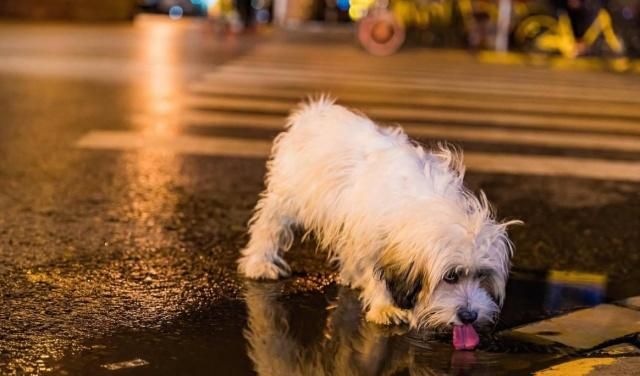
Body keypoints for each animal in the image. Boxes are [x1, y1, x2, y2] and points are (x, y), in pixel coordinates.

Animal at [238, 97, 516, 350]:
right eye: (451, 276)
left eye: (482, 275)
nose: (469, 316)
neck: (425, 204)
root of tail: (316, 110)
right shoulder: (371, 239)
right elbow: (376, 274)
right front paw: (384, 307)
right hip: (290, 195)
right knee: (269, 224)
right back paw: (260, 262)